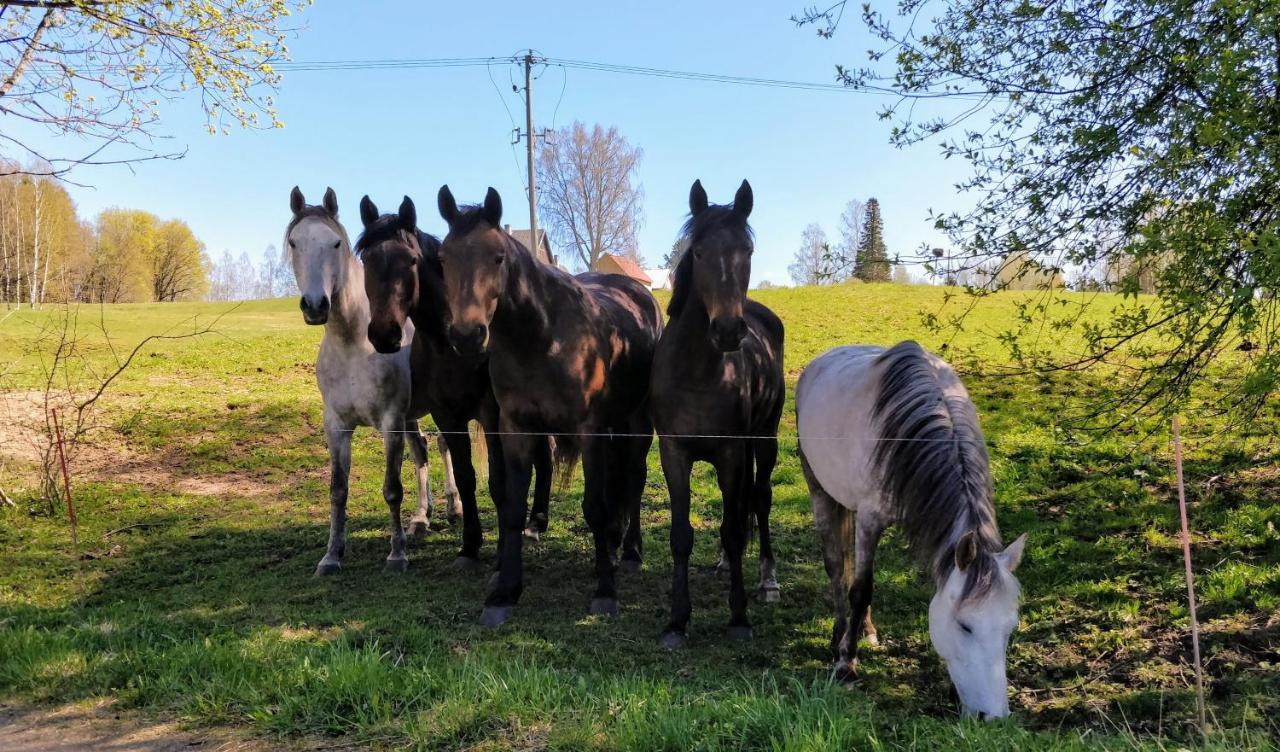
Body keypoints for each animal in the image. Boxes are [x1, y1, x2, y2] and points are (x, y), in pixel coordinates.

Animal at [288, 188, 458, 575]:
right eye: (293, 242)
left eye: (336, 243)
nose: (316, 305)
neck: (353, 344)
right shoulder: (336, 425)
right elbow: (338, 490)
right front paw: (332, 555)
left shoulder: (390, 422)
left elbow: (392, 488)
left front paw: (397, 555)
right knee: (422, 450)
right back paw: (421, 518)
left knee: (444, 445)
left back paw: (454, 508)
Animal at [353, 194, 552, 570]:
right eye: (367, 259)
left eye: (411, 259)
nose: (385, 333)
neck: (449, 346)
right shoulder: (447, 415)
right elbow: (466, 476)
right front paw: (470, 545)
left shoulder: (491, 414)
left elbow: (498, 481)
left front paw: (502, 549)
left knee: (543, 455)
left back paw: (535, 524)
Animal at [437, 185, 665, 626]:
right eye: (443, 258)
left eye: (498, 257)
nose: (467, 336)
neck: (542, 341)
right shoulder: (515, 428)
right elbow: (512, 506)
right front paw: (504, 593)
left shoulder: (589, 430)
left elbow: (595, 506)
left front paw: (605, 592)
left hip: (638, 419)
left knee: (634, 477)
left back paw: (629, 552)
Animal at [655, 179, 783, 649]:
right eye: (698, 252)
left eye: (747, 251)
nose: (728, 330)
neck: (697, 372)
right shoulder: (674, 453)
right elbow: (681, 535)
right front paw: (676, 621)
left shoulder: (731, 452)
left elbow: (733, 527)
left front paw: (739, 616)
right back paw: (726, 564)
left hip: (764, 441)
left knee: (758, 500)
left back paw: (767, 581)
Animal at [798, 342, 1029, 721]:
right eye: (965, 625)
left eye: (1009, 628)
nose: (993, 717)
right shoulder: (870, 519)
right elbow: (860, 589)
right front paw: (846, 663)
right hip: (820, 490)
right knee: (837, 570)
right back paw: (839, 636)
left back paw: (866, 630)